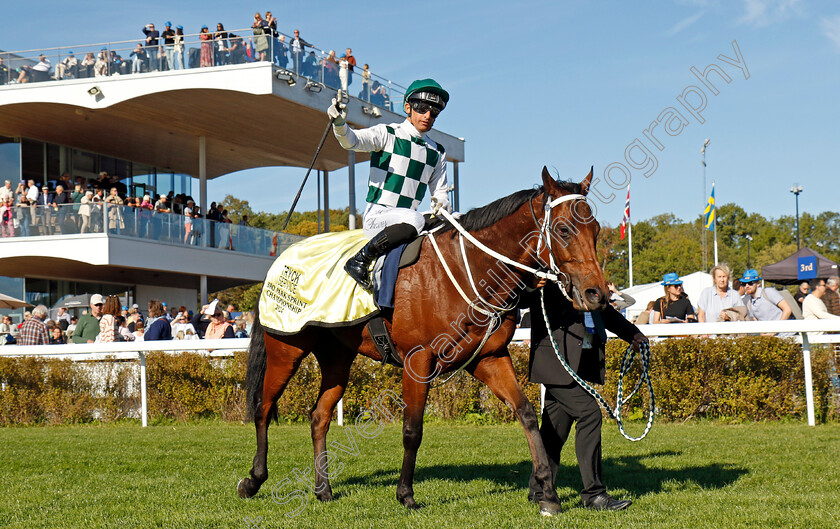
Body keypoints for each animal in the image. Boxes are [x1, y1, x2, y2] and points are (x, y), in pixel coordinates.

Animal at [240, 166, 608, 516]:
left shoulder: (488, 357)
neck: (467, 270)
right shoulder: (418, 360)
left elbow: (527, 414)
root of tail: (282, 257)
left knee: (319, 415)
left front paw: (548, 493)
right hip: (286, 349)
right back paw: (254, 479)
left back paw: (323, 489)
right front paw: (406, 494)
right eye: (564, 229)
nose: (597, 293)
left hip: (337, 358)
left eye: (596, 229)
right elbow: (412, 429)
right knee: (263, 408)